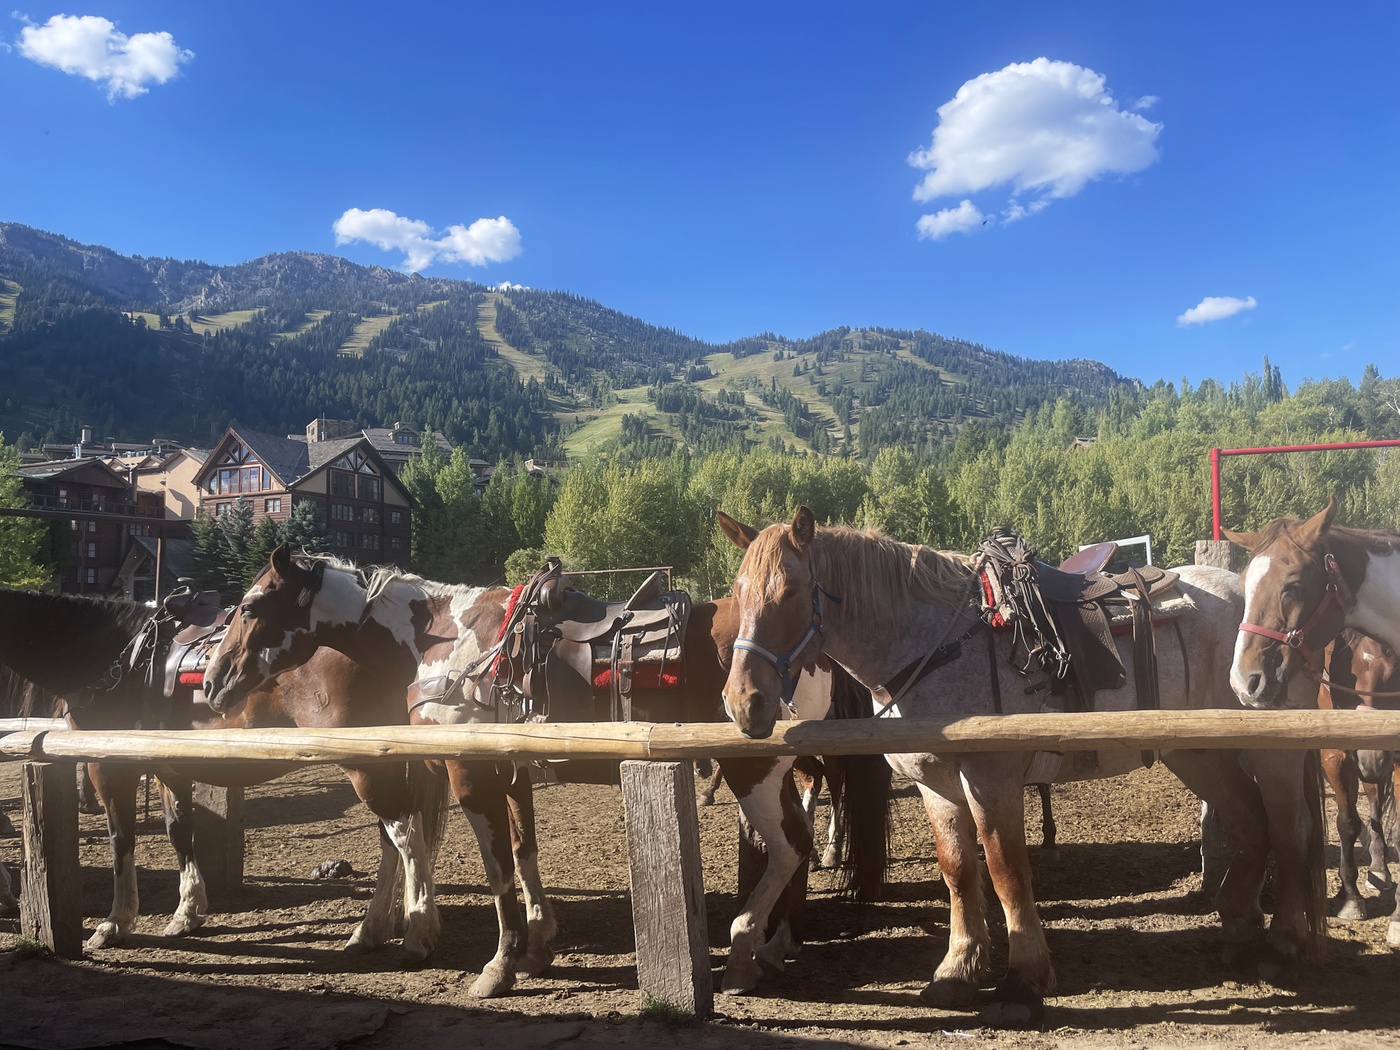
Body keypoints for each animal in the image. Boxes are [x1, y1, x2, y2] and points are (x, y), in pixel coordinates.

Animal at [204, 551, 884, 1002]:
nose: (211, 681)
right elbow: (525, 852)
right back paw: (772, 945)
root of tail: (814, 651)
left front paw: (499, 966)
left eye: (251, 606)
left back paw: (744, 950)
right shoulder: (511, 773)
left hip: (754, 770)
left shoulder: (469, 771)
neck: (448, 642)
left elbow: (498, 870)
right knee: (794, 846)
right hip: (773, 773)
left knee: (789, 847)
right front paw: (538, 946)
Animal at [711, 509, 1321, 1030]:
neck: (933, 643)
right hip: (1198, 752)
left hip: (1273, 750)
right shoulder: (937, 786)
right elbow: (958, 871)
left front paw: (1023, 981)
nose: (743, 703)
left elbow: (1005, 872)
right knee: (1251, 823)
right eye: (736, 594)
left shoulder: (992, 780)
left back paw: (1285, 943)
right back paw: (1240, 929)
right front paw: (957, 971)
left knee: (1289, 831)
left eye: (790, 591)